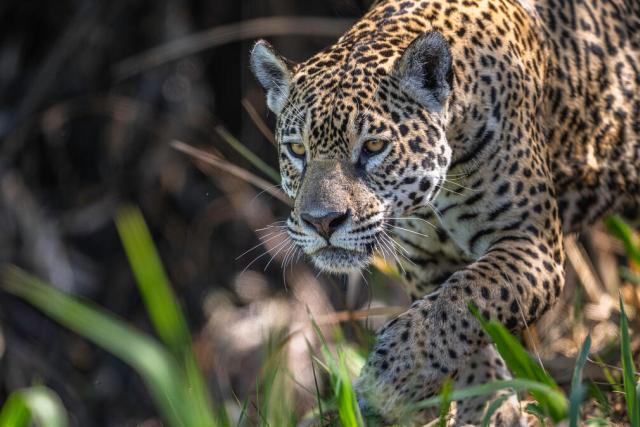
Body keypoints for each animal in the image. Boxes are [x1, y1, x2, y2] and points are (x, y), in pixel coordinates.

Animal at [249, 0, 640, 424]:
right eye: (297, 149)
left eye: (373, 146)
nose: (322, 222)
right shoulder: (425, 264)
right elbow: (460, 322)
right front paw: (487, 406)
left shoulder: (531, 243)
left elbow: (462, 299)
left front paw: (392, 377)